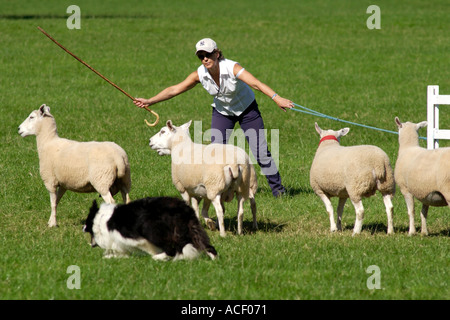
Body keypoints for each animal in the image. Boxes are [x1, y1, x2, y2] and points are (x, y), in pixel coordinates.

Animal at [84, 198, 218, 260]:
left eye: (87, 223)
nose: (82, 228)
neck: (101, 219)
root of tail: (183, 207)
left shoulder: (133, 238)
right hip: (193, 230)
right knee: (208, 246)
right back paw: (214, 260)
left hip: (152, 230)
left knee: (172, 250)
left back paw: (158, 258)